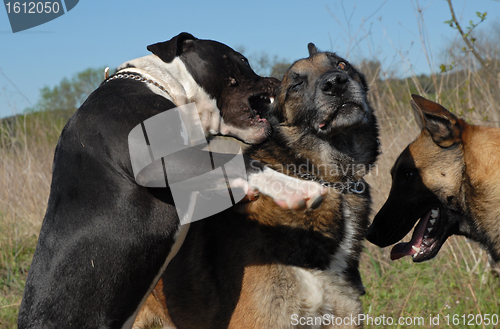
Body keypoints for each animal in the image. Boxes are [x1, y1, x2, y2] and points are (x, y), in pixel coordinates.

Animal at [16, 34, 324, 328]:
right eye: (243, 59)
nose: (277, 81)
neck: (166, 87)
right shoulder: (160, 162)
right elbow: (243, 164)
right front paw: (297, 189)